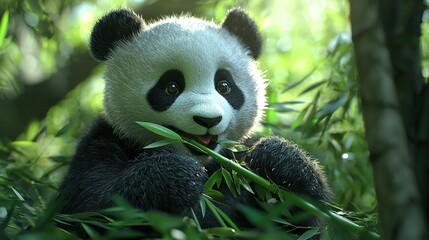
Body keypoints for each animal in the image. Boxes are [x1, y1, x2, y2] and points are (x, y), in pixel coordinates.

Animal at [56, 7, 332, 238]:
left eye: (224, 86)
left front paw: (279, 162)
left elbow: (297, 226)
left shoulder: (235, 165)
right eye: (171, 87)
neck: (207, 165)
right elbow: (92, 210)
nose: (208, 119)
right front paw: (177, 176)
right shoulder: (104, 142)